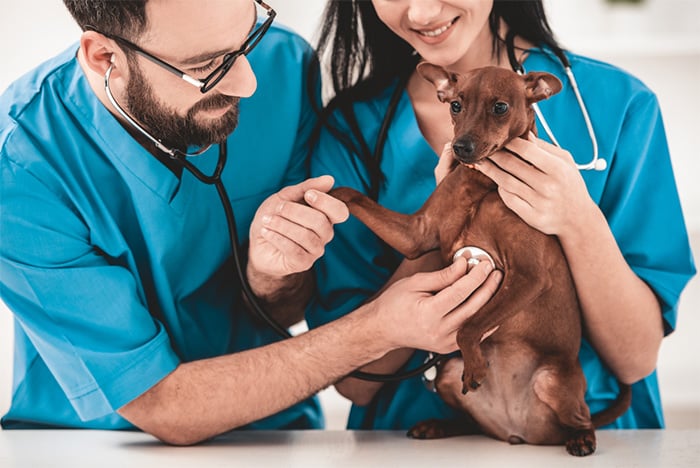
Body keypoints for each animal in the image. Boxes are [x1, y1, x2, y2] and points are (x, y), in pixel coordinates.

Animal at [330, 64, 632, 456]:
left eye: (500, 107)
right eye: (455, 105)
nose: (461, 147)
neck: (481, 184)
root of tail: (517, 430)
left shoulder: (529, 276)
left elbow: (469, 327)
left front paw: (475, 364)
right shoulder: (417, 233)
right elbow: (352, 195)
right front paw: (317, 195)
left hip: (551, 380)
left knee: (581, 419)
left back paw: (581, 438)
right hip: (446, 376)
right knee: (471, 421)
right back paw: (438, 425)